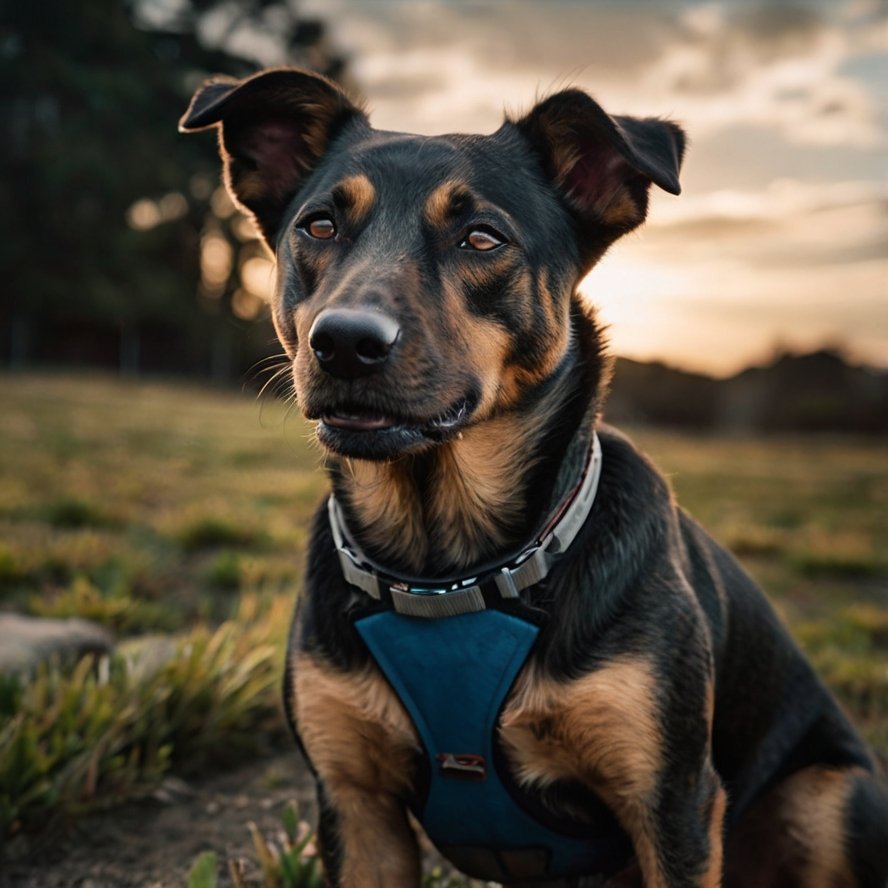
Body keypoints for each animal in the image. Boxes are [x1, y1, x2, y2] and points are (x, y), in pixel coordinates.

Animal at [180, 66, 888, 884]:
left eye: (482, 237)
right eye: (318, 227)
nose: (346, 343)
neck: (444, 571)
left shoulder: (671, 802)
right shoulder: (356, 804)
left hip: (824, 798)